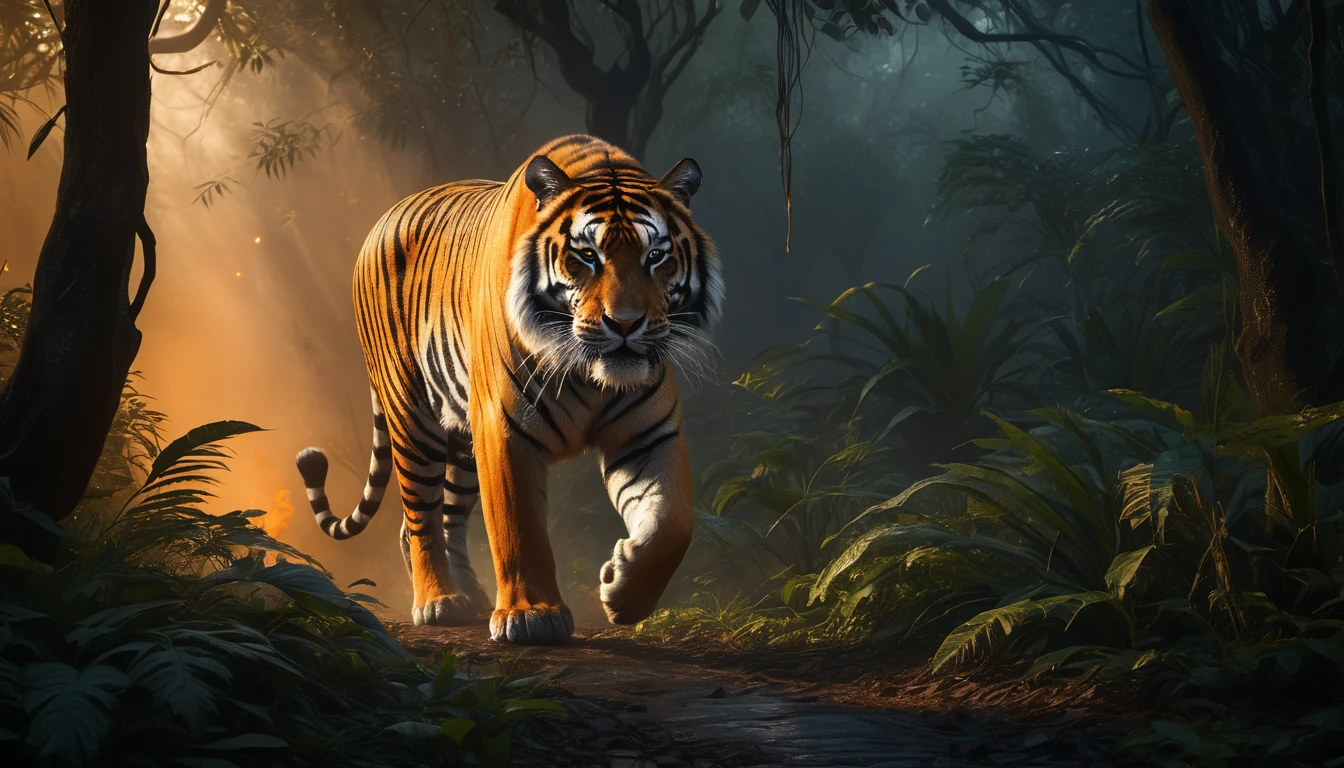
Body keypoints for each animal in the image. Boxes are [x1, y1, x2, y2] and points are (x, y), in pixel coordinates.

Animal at [294, 135, 723, 645]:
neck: (590, 372)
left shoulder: (650, 434)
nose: (624, 324)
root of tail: (381, 220)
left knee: (444, 517)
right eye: (586, 256)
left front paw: (623, 593)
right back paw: (439, 602)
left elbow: (673, 523)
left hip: (462, 438)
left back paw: (472, 596)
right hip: (411, 414)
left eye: (656, 256)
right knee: (420, 514)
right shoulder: (503, 427)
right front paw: (531, 616)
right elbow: (518, 528)